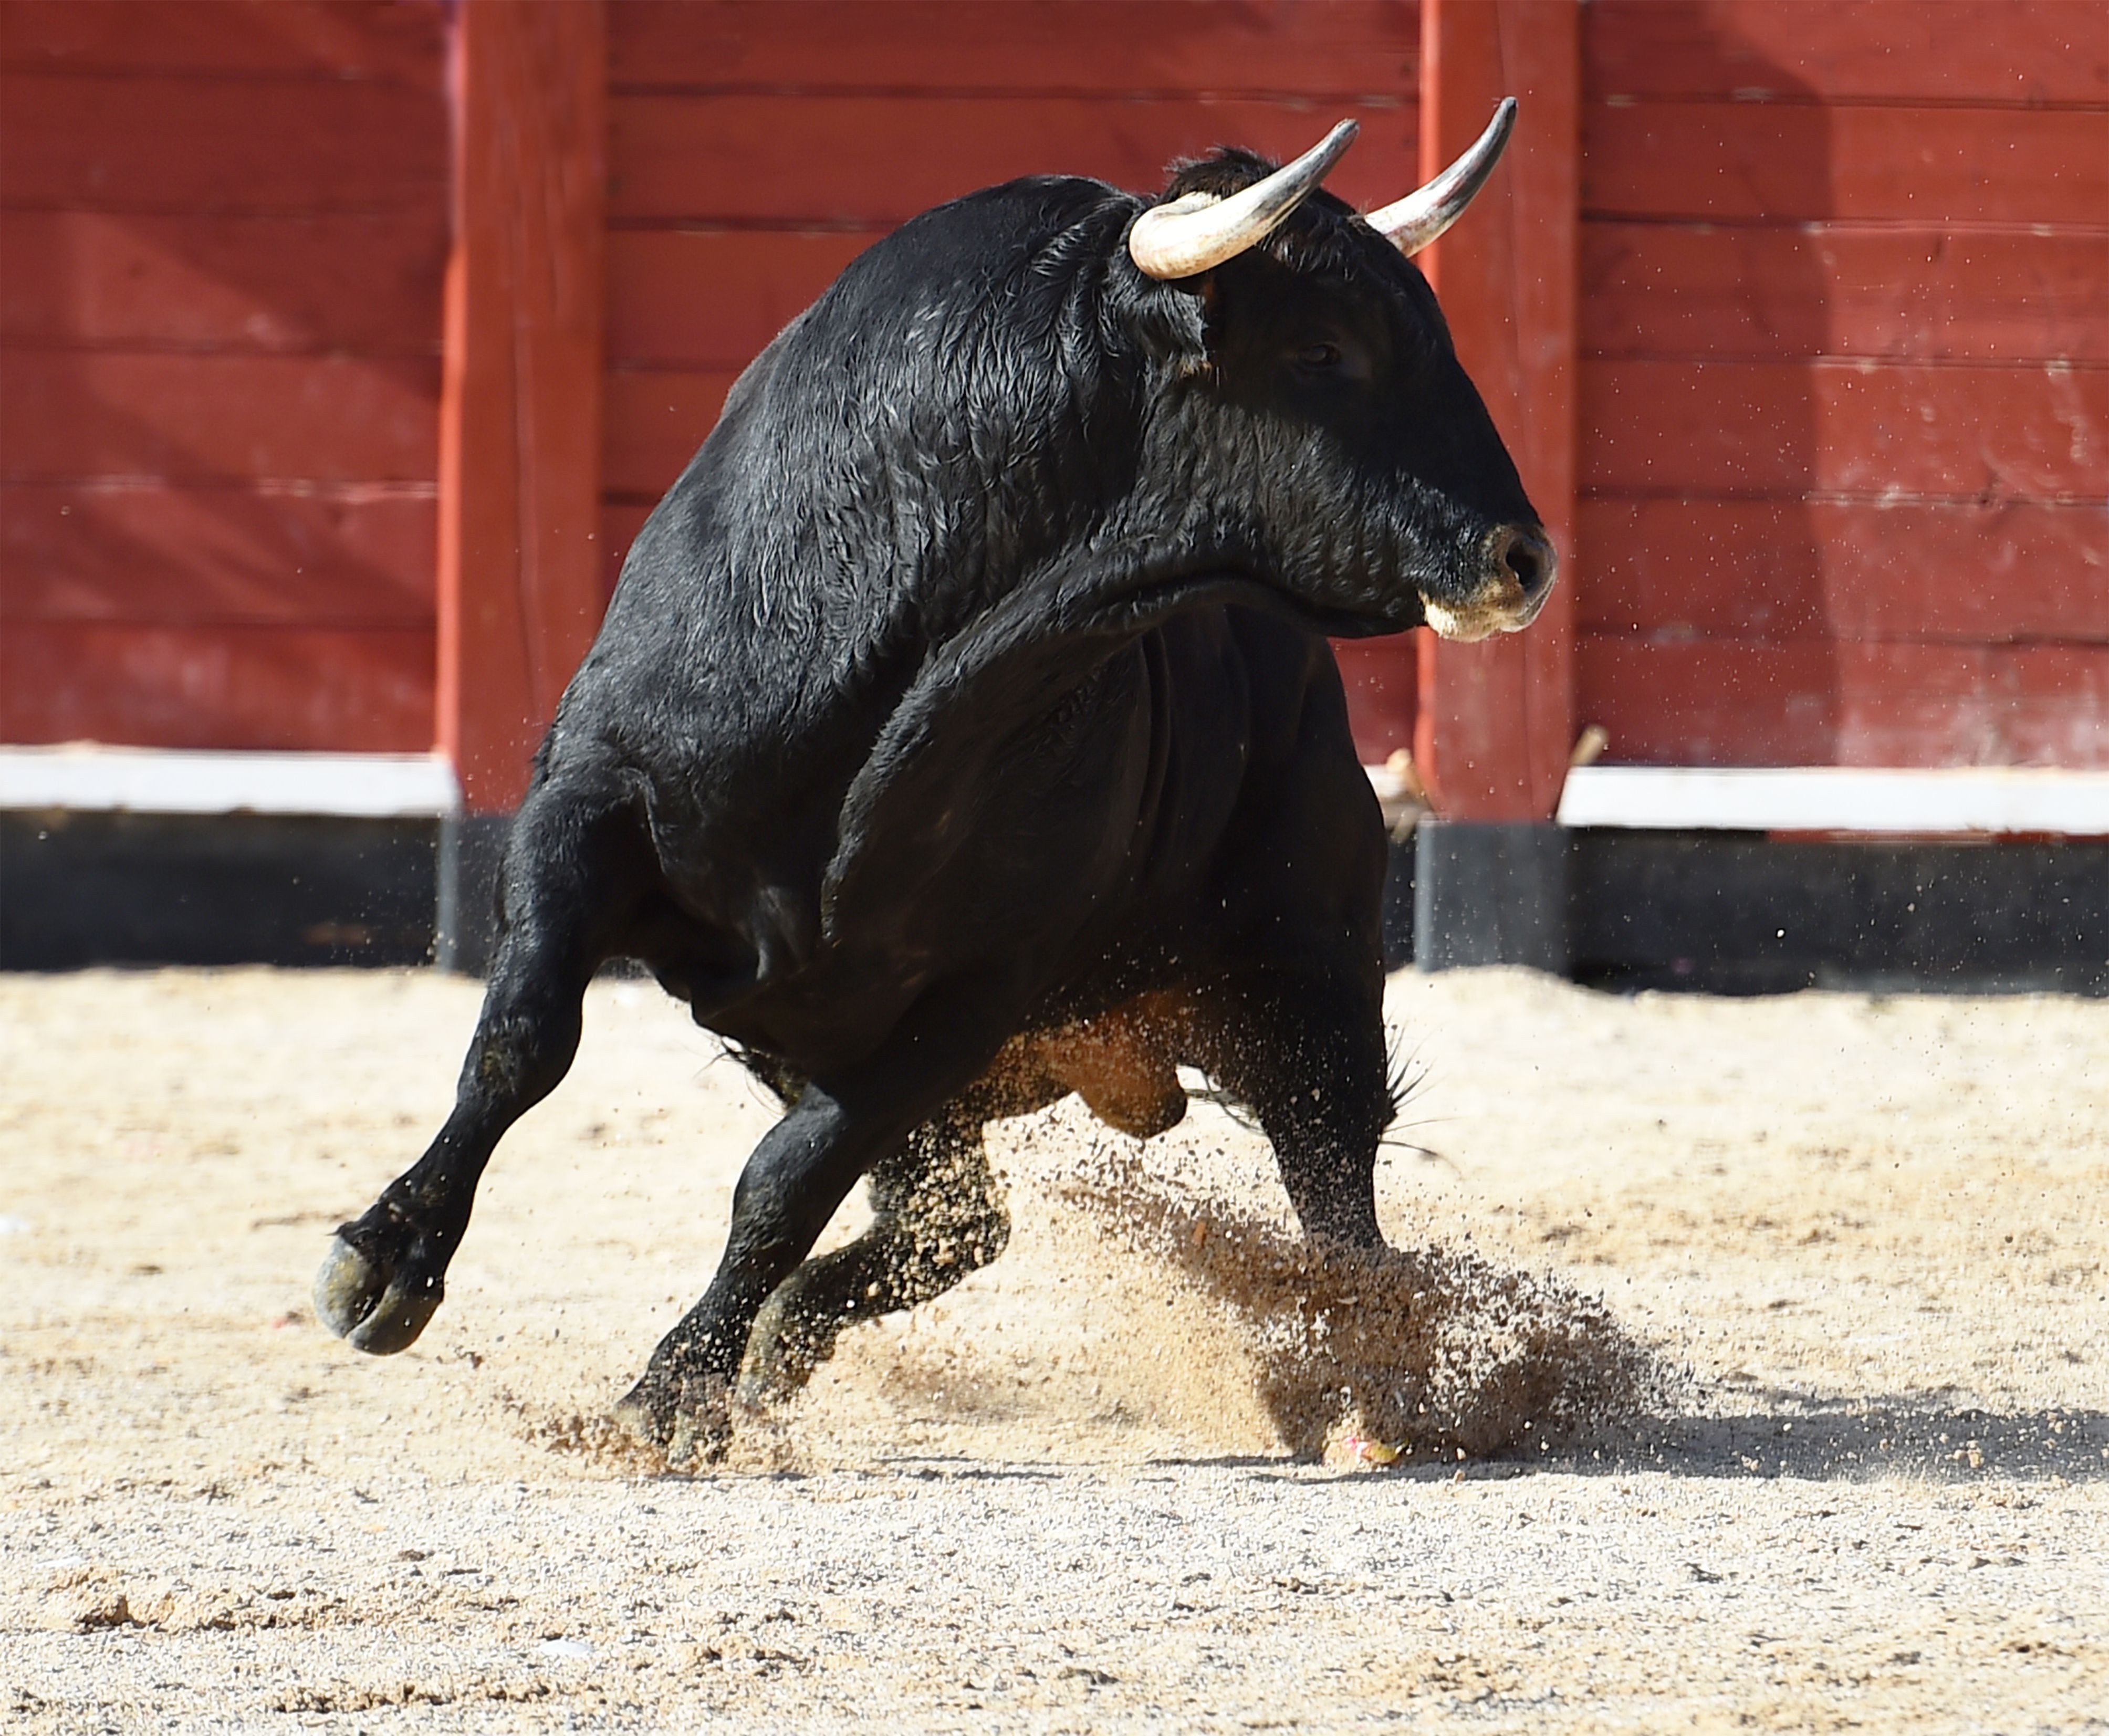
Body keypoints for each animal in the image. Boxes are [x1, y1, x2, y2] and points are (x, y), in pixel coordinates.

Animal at [320, 115, 1560, 1459]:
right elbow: (522, 1039)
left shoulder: (977, 981)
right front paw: (384, 1262)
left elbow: (785, 1178)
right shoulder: (590, 805)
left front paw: (671, 1391)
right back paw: (783, 1345)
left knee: (1331, 1189)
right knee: (957, 1220)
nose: (1523, 556)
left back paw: (1370, 1395)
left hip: (1312, 970)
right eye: (1323, 348)